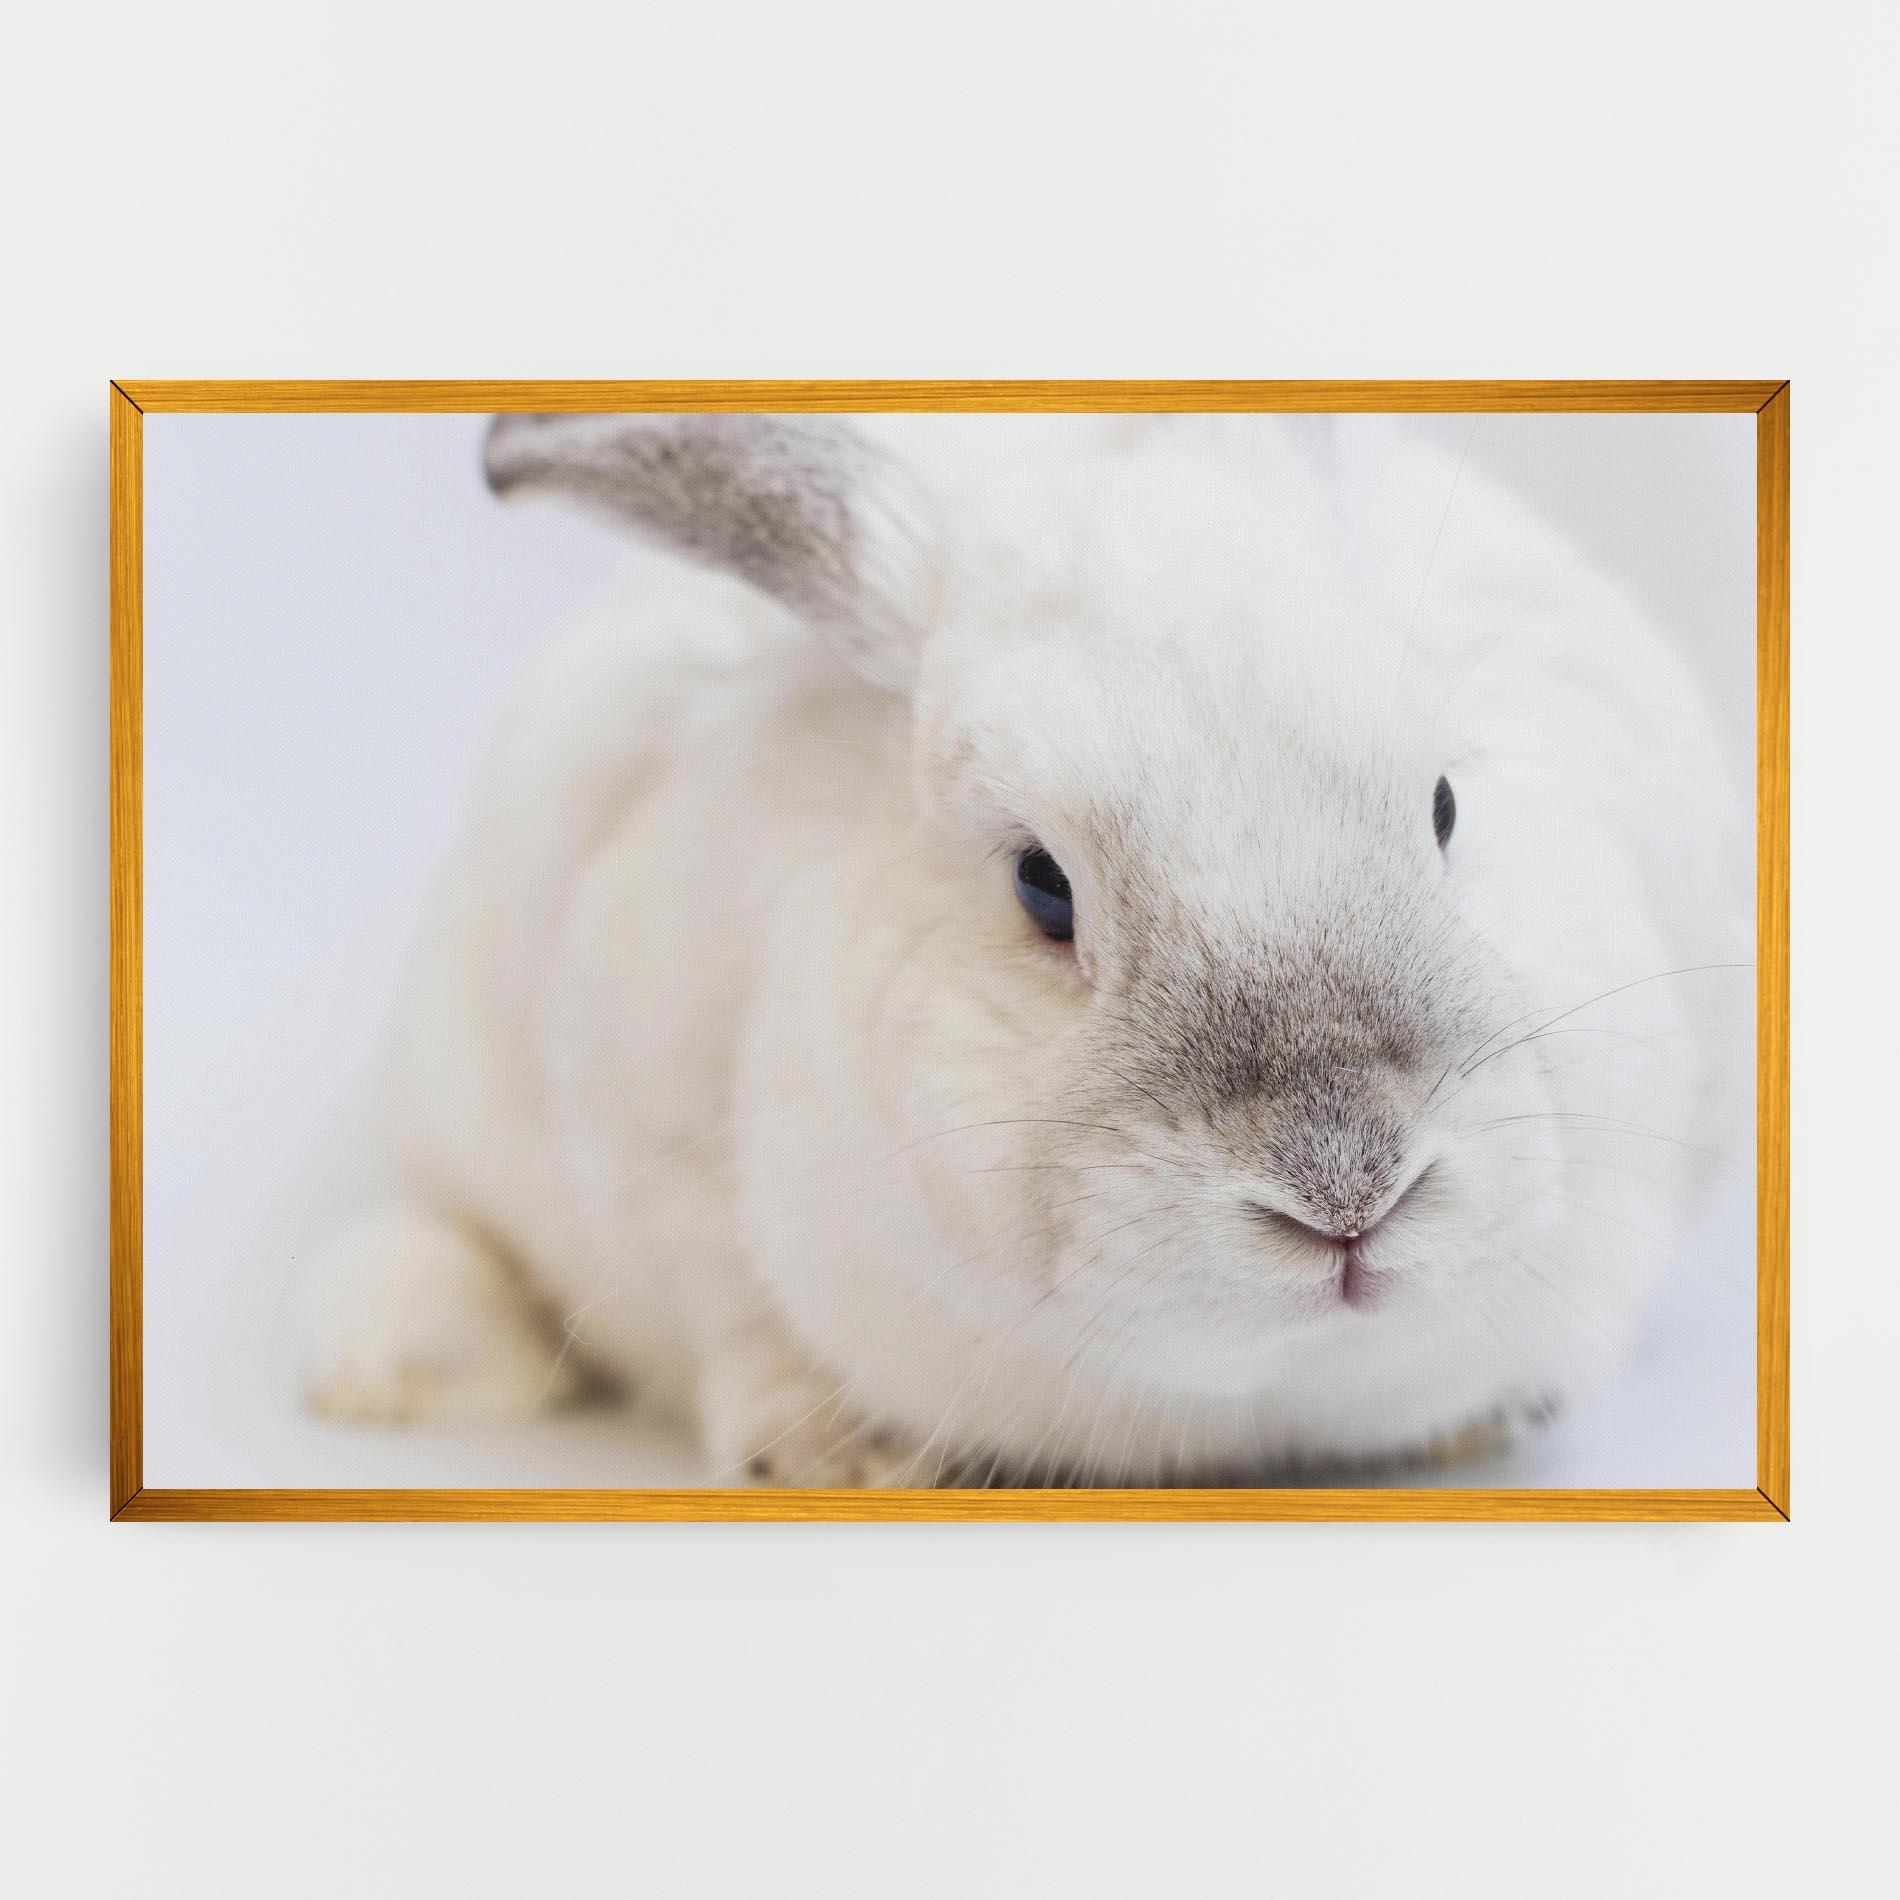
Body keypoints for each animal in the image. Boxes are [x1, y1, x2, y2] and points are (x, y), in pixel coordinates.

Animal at [303, 410, 1749, 1486]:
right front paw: (836, 1455)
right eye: (1041, 886)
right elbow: (736, 1318)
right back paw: (387, 1366)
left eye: (1445, 804)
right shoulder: (653, 1145)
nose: (1347, 1190)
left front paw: (1485, 1418)